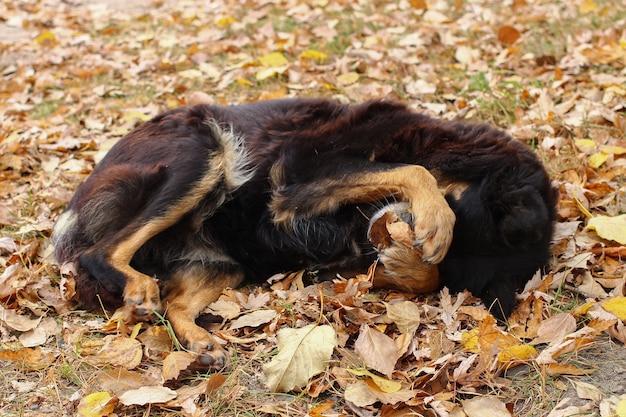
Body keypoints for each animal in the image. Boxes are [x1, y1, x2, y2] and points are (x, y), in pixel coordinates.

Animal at [51, 97, 552, 368]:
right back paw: (137, 288)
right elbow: (414, 170)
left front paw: (409, 265)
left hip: (222, 265)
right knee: (98, 253)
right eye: (457, 208)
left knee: (174, 300)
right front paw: (434, 223)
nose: (390, 235)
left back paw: (198, 340)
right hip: (202, 148)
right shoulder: (300, 175)